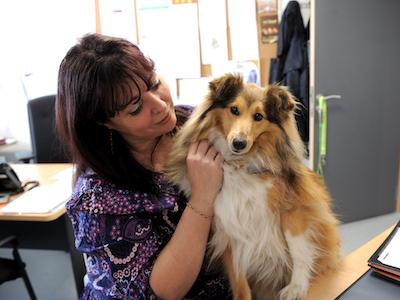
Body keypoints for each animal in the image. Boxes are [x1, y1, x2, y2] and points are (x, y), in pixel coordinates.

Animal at [164, 73, 340, 300]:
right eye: (234, 110)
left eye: (258, 116)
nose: (239, 143)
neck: (239, 164)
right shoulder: (228, 226)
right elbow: (239, 280)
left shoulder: (295, 206)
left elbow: (298, 248)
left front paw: (296, 287)